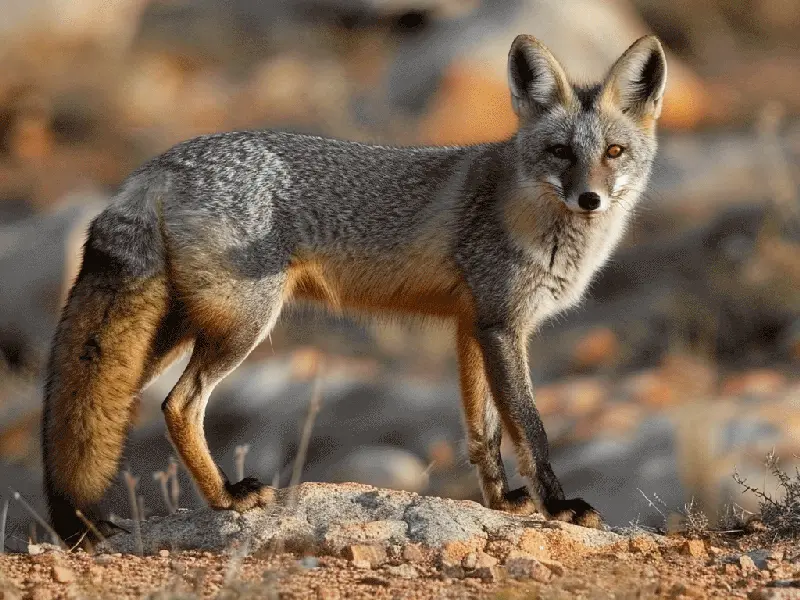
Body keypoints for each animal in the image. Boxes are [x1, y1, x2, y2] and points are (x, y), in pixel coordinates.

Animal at [42, 34, 667, 545]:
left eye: (613, 153)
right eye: (560, 152)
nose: (590, 199)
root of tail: (162, 163)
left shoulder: (473, 326)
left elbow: (483, 434)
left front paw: (501, 505)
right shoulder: (502, 326)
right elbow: (531, 430)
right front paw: (558, 508)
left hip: (173, 332)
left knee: (104, 406)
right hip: (242, 324)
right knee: (180, 403)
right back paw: (225, 499)